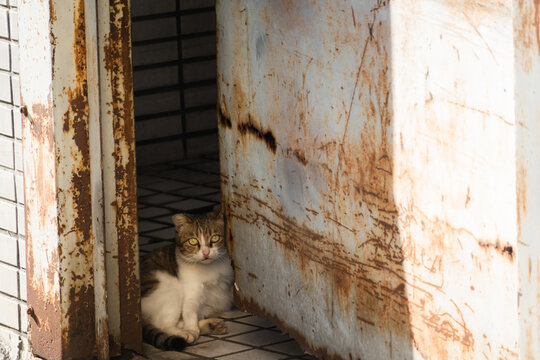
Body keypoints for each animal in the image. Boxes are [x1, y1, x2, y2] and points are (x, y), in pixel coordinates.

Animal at [139, 208, 232, 352]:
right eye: (193, 241)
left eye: (215, 238)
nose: (206, 252)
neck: (209, 268)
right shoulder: (191, 295)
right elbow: (190, 313)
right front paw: (192, 330)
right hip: (171, 287)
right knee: (162, 324)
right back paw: (185, 334)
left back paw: (211, 325)